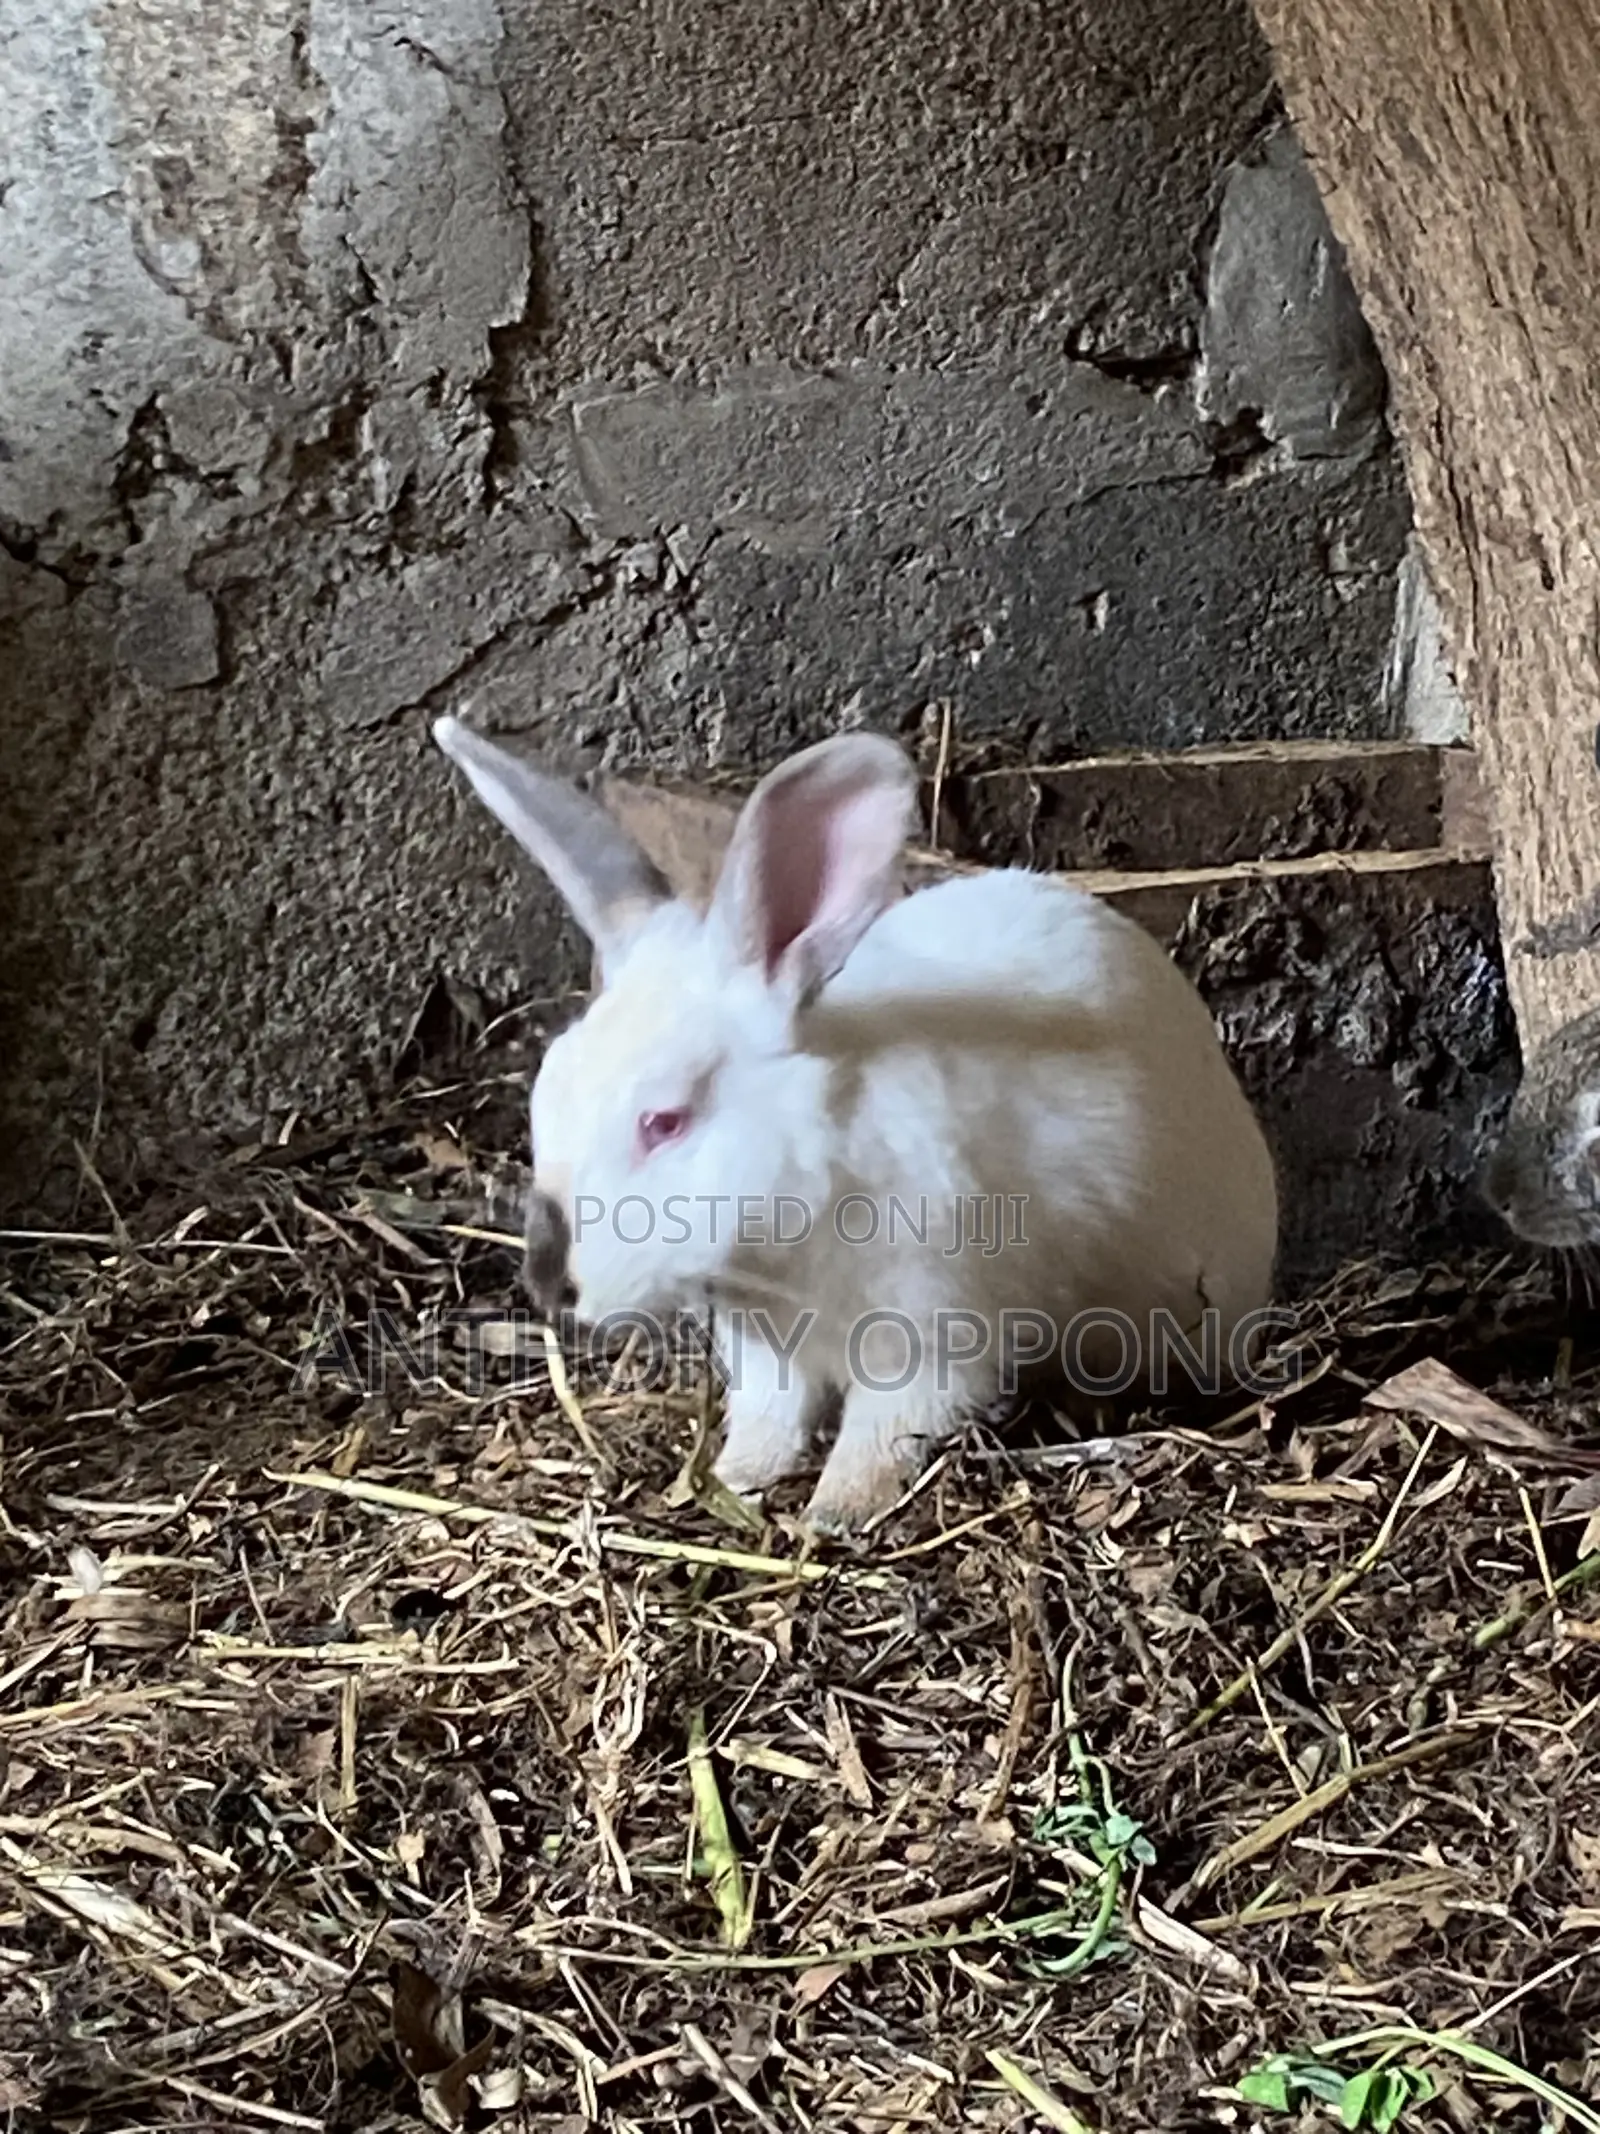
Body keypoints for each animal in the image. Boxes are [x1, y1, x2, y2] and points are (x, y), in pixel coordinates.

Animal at [431, 715, 1280, 1535]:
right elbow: (770, 1420)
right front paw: (734, 1477)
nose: (549, 1286)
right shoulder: (766, 1351)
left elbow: (884, 1435)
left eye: (664, 1121)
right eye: (546, 1093)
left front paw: (834, 1513)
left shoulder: (933, 1342)